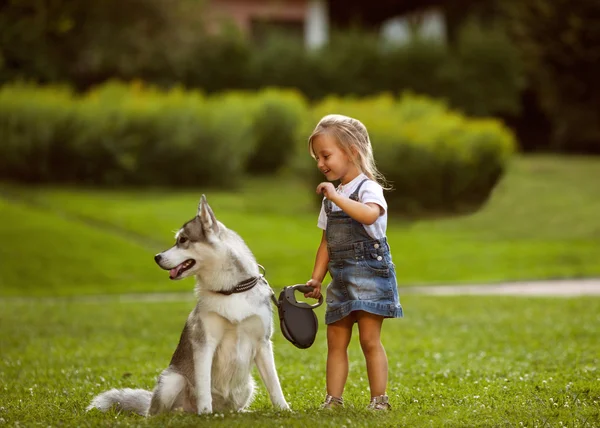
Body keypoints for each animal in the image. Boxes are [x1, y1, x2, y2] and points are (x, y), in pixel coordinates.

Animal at [86, 196, 288, 414]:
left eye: (182, 240)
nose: (156, 257)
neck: (230, 290)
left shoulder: (263, 343)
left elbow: (274, 384)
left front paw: (284, 410)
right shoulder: (204, 343)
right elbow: (203, 386)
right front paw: (205, 413)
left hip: (248, 386)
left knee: (234, 406)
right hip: (172, 381)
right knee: (155, 413)